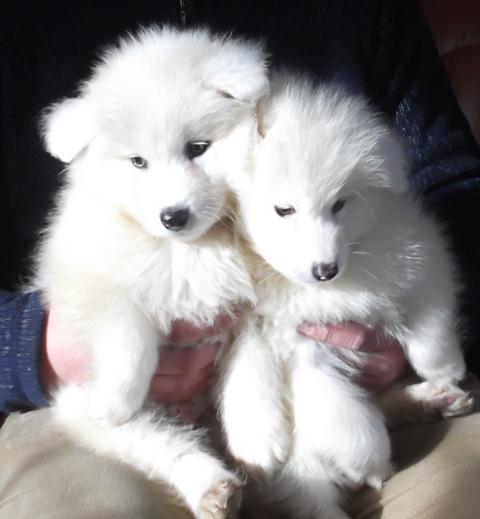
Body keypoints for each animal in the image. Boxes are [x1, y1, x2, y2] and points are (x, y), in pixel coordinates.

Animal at [36, 28, 270, 519]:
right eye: (138, 162)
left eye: (198, 148)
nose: (173, 216)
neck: (188, 250)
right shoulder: (95, 283)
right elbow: (128, 334)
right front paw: (117, 398)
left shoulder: (253, 309)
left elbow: (252, 376)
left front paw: (258, 441)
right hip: (80, 406)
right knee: (162, 443)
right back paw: (210, 484)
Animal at [220, 77, 472, 519]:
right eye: (283, 210)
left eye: (340, 204)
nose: (326, 270)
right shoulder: (300, 347)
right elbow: (346, 418)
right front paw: (368, 464)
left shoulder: (420, 252)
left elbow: (430, 317)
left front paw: (444, 368)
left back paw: (435, 396)